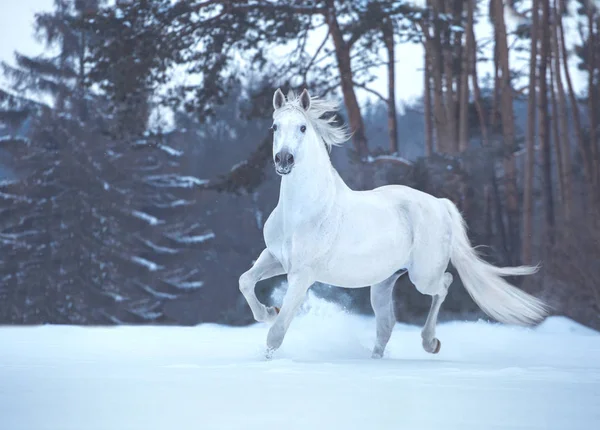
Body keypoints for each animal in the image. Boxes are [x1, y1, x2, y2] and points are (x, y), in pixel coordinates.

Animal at [239, 88, 548, 360]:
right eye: (274, 127)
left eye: (303, 127)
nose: (284, 159)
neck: (303, 212)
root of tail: (440, 204)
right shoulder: (275, 259)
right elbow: (245, 282)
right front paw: (267, 312)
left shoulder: (302, 275)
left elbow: (277, 333)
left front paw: (269, 353)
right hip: (383, 282)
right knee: (387, 324)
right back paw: (378, 360)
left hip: (423, 277)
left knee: (444, 284)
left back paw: (430, 343)